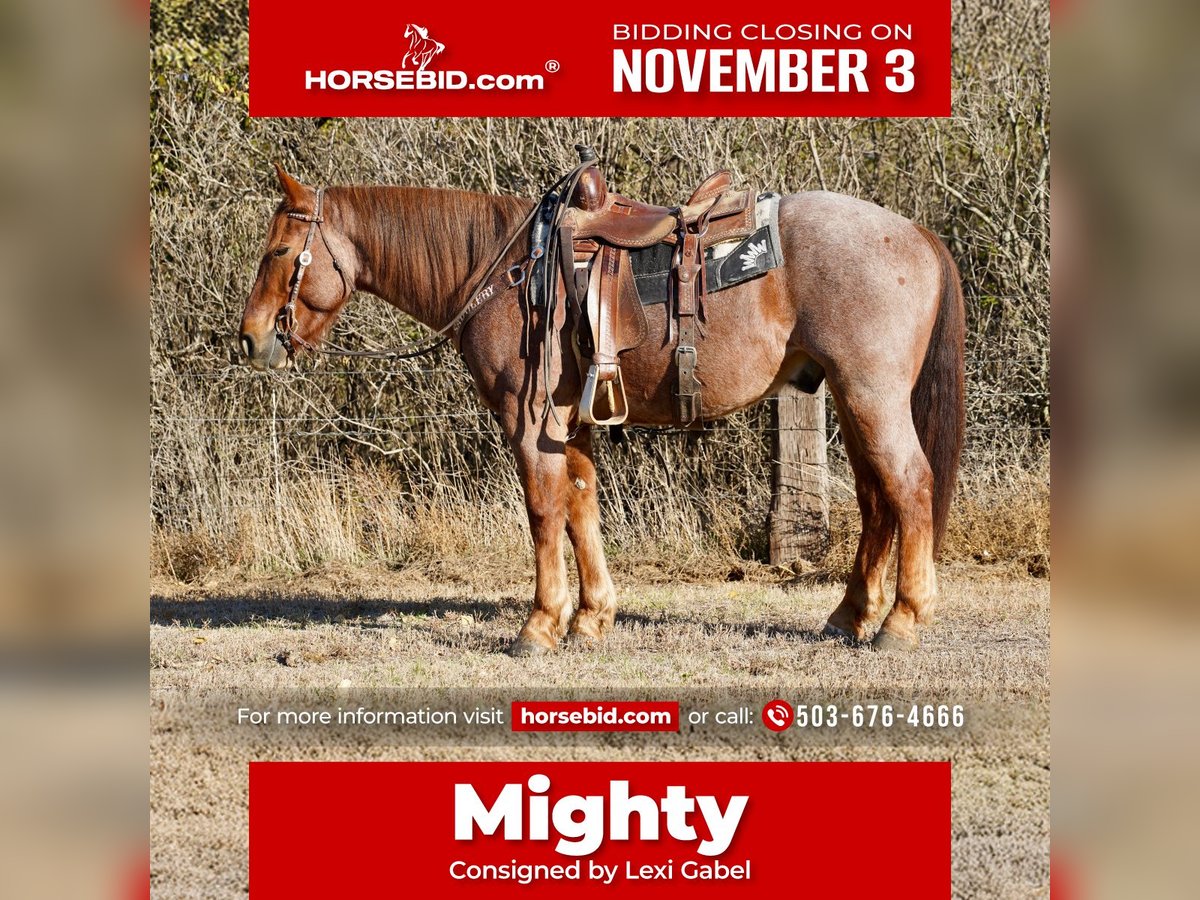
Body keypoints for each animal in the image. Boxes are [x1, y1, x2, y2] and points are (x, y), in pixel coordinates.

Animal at [238, 164, 965, 654]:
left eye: (278, 251)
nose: (249, 337)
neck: (507, 273)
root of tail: (915, 233)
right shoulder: (572, 424)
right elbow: (582, 507)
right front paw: (591, 618)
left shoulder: (531, 424)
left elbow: (543, 512)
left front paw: (539, 625)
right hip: (851, 398)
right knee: (876, 500)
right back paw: (850, 615)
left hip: (871, 398)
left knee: (908, 486)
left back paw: (902, 619)